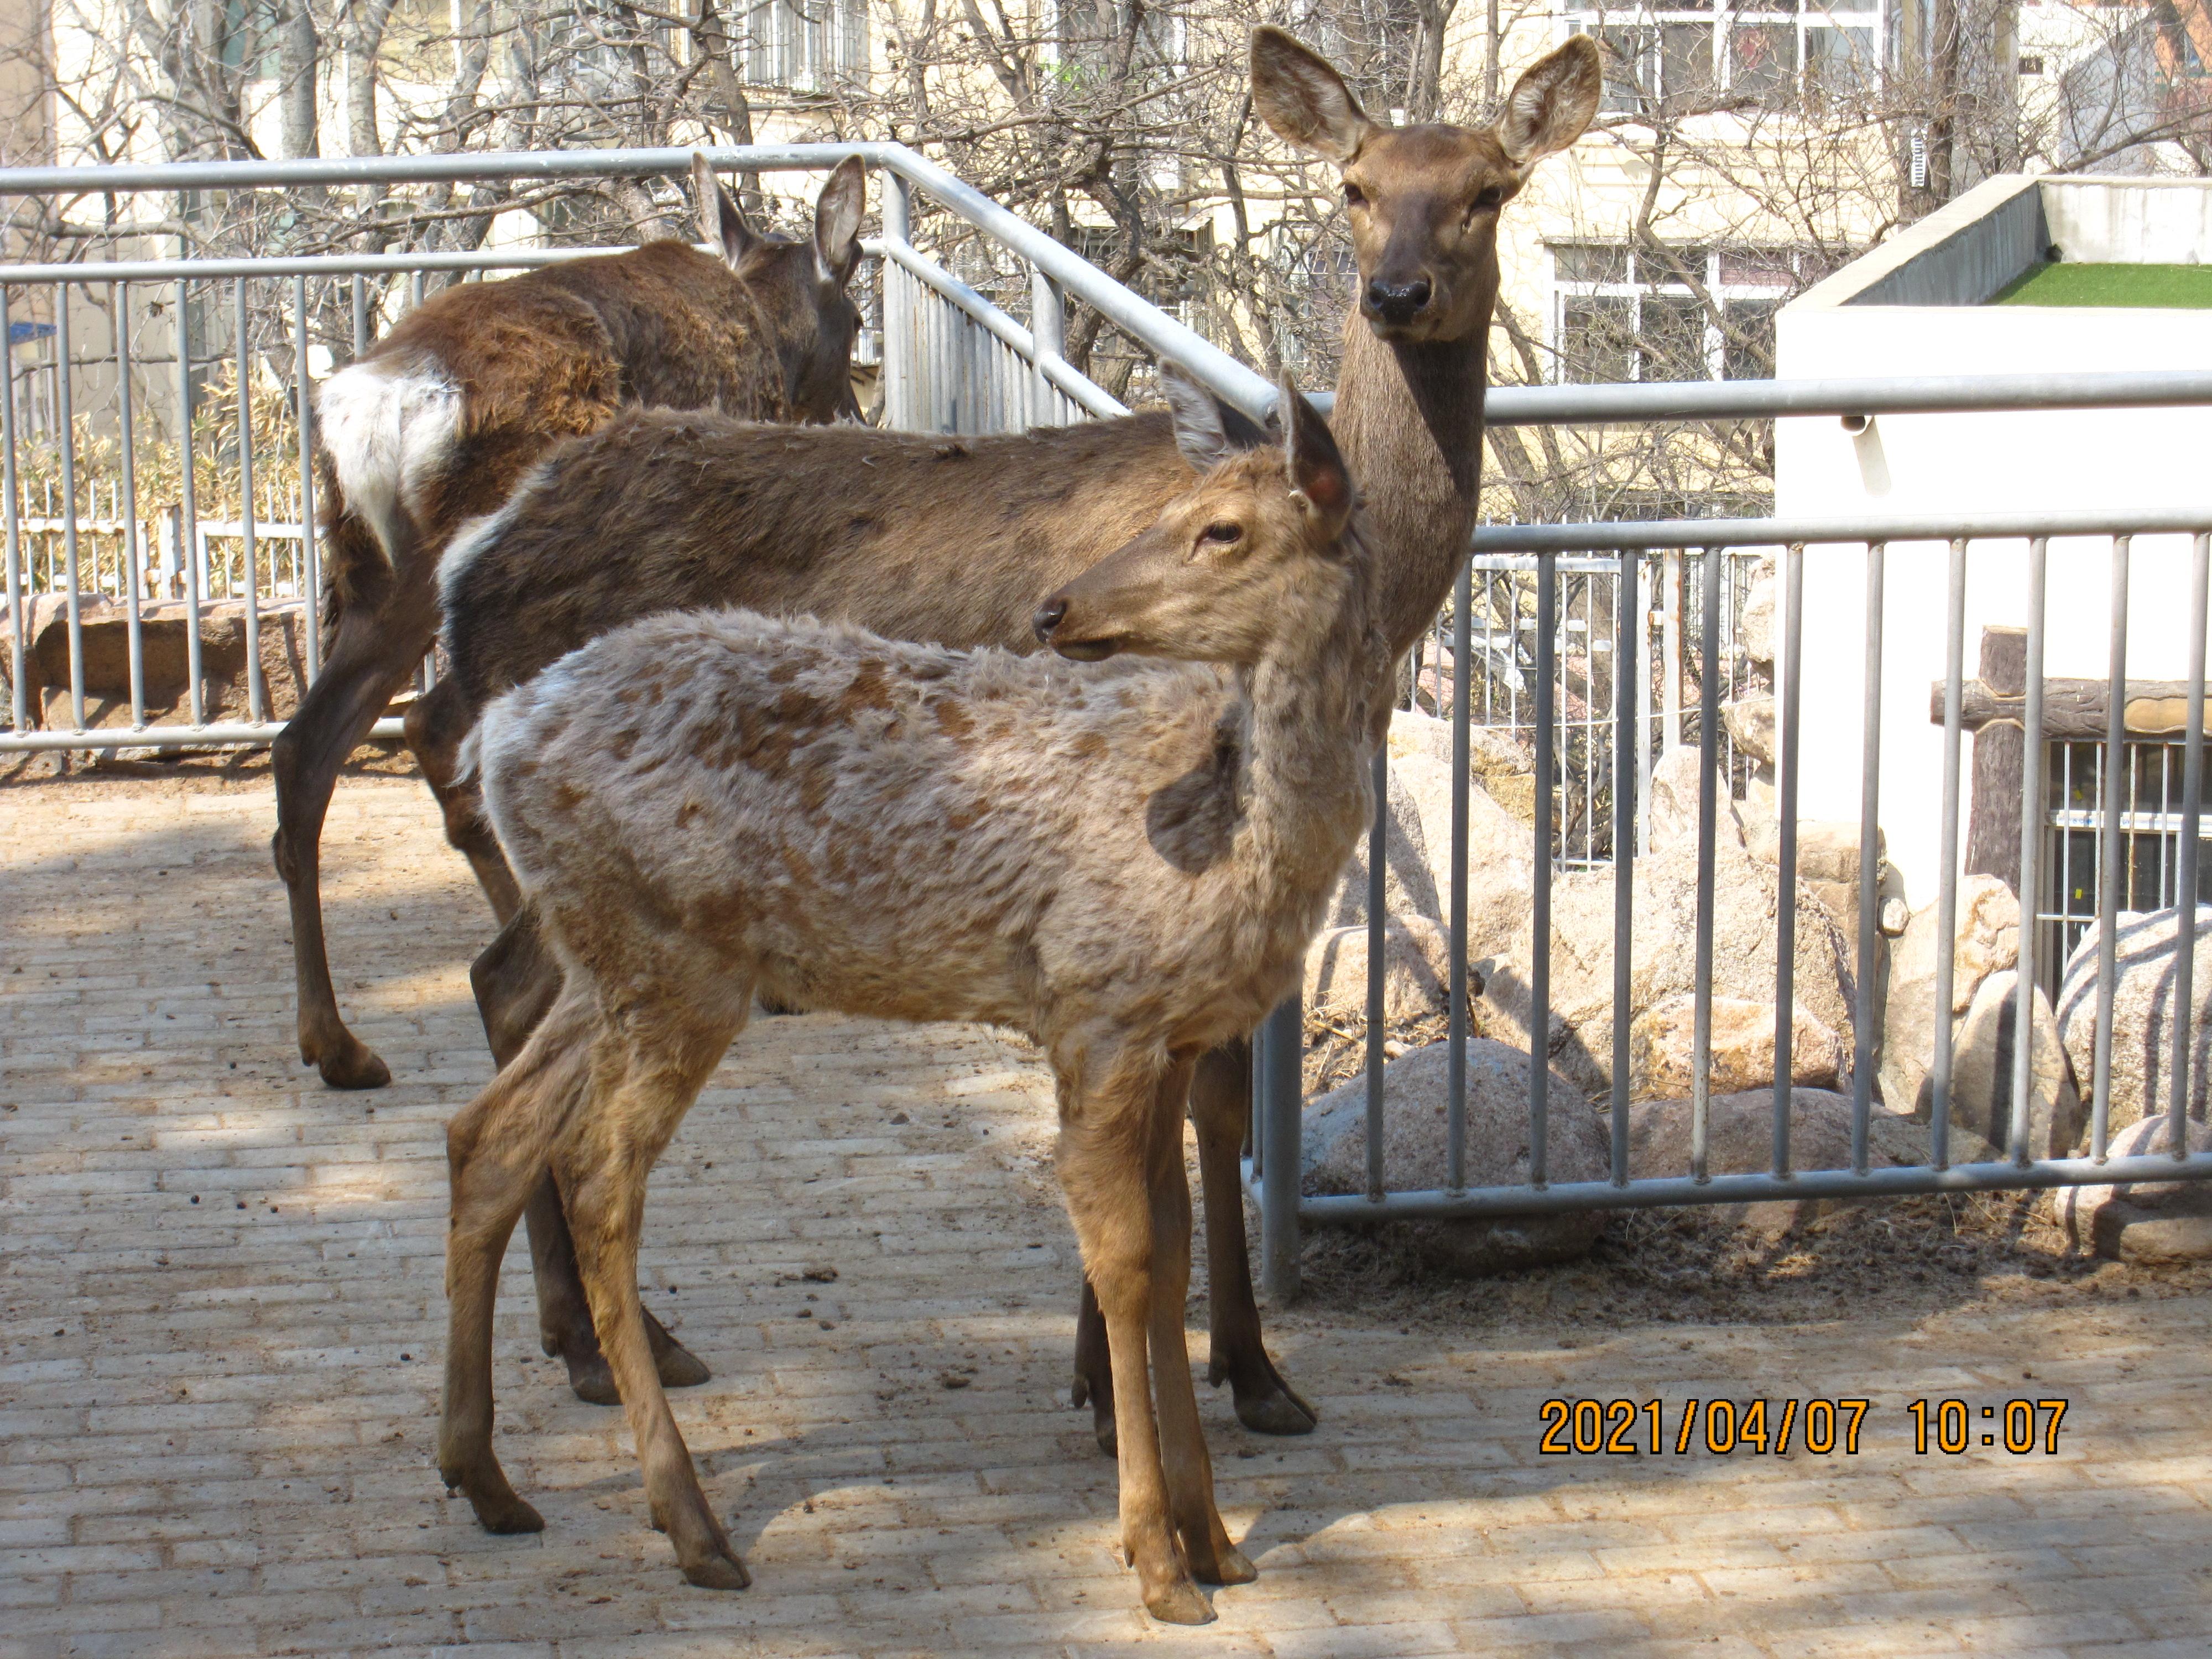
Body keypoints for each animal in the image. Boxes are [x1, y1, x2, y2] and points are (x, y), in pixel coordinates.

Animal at [270, 153, 872, 1106]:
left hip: (385, 581)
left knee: (312, 746)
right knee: (440, 727)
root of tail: (382, 408)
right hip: (509, 575)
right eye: (854, 315)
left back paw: (338, 1043)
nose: (851, 408)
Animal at [418, 26, 1593, 1451]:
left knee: (501, 988)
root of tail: (472, 559)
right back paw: (604, 1345)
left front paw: (1206, 1368)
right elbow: (1184, 1115)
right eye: (1356, 185)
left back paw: (581, 1342)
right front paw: (1158, 1380)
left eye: (1486, 188)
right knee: (519, 1002)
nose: (1396, 290)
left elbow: (1204, 1105)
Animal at [442, 367, 1389, 1628]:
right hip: (675, 962)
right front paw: (1155, 1558)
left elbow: (1174, 1254)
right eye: (1179, 508)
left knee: (489, 1130)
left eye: (1222, 529)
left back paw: (484, 1476)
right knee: (598, 1173)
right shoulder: (1094, 1005)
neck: (1235, 846)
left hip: (609, 954)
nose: (1057, 610)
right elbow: (1128, 1264)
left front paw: (1215, 1541)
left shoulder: (1172, 1033)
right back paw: (691, 1523)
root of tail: (498, 734)